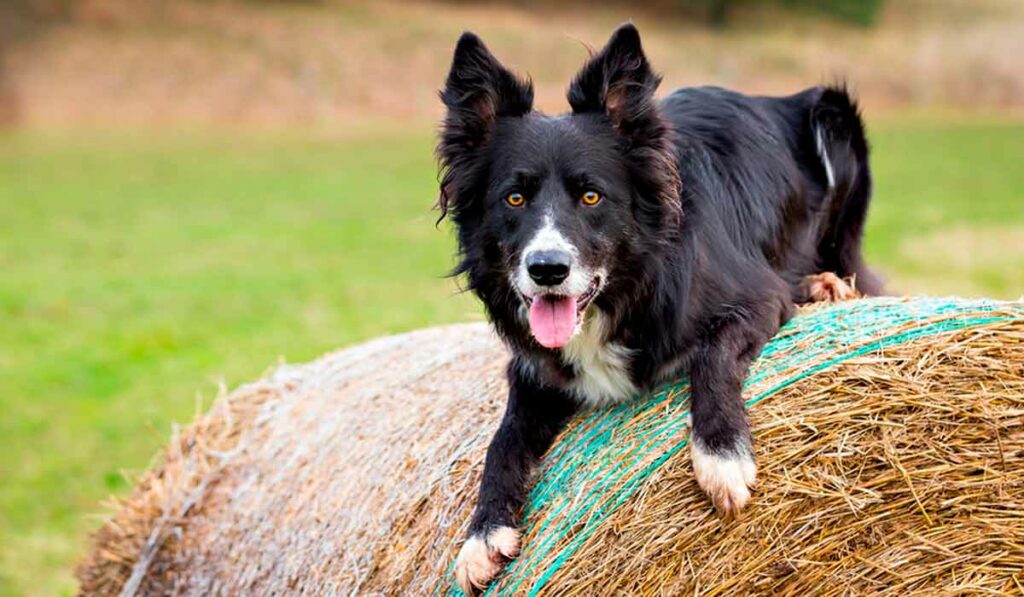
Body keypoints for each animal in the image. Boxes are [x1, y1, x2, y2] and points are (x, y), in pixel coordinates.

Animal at [436, 24, 884, 593]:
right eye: (513, 199)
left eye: (591, 196)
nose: (547, 269)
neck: (630, 288)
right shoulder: (534, 369)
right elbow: (503, 440)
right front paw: (483, 531)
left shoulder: (758, 298)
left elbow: (713, 357)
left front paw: (722, 456)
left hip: (834, 117)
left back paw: (825, 283)